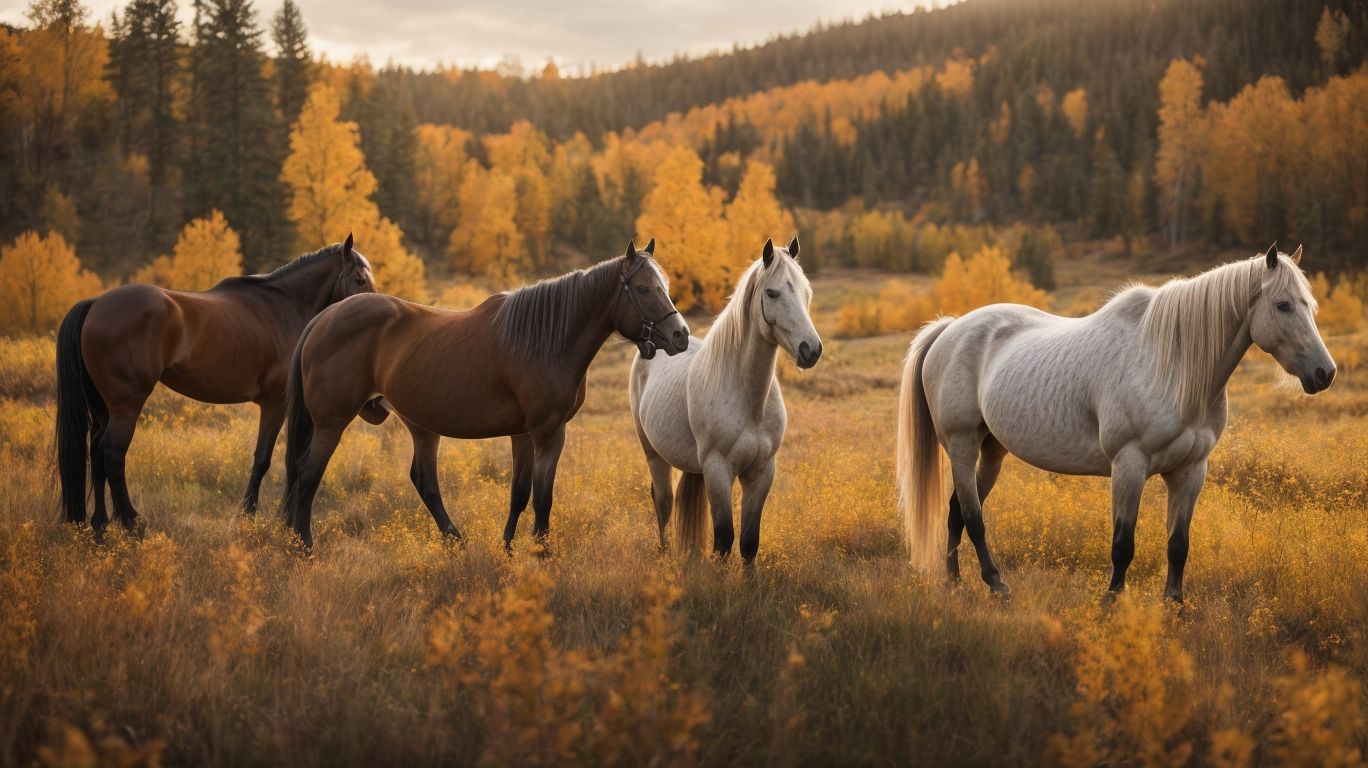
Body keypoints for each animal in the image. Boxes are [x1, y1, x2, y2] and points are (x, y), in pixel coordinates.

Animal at [55, 235, 375, 538]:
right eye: (360, 279)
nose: (370, 311)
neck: (283, 307)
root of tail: (96, 303)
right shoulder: (275, 403)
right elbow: (264, 459)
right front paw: (247, 516)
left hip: (102, 407)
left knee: (96, 451)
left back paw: (100, 525)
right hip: (126, 405)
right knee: (112, 451)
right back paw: (132, 523)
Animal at [280, 240, 690, 550]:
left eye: (666, 286)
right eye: (643, 289)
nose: (681, 335)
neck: (546, 340)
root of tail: (323, 319)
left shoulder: (528, 433)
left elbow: (520, 493)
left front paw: (509, 549)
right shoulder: (545, 431)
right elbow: (542, 497)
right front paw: (542, 554)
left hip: (420, 427)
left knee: (424, 482)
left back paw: (456, 543)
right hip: (331, 424)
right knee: (307, 474)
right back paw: (305, 548)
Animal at [630, 237, 822, 563]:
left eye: (806, 291)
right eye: (772, 293)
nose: (812, 350)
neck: (749, 401)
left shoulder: (761, 474)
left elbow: (748, 543)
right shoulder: (719, 472)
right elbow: (723, 541)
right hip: (652, 453)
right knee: (663, 501)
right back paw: (664, 554)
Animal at [897, 245, 1336, 602]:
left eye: (1310, 305)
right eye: (1283, 305)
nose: (1324, 373)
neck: (1172, 367)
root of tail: (950, 329)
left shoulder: (1191, 471)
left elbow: (1179, 544)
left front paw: (1174, 605)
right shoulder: (1129, 465)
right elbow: (1123, 543)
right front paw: (1111, 602)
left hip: (992, 450)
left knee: (957, 510)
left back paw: (954, 582)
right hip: (961, 444)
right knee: (973, 516)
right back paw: (994, 583)